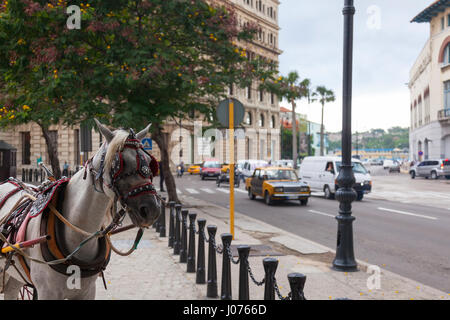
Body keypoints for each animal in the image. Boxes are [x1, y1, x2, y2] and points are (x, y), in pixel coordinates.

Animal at [0, 119, 162, 298]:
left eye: (149, 162)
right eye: (120, 163)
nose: (151, 209)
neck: (78, 234)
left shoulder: (87, 291)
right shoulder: (46, 292)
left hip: (15, 277)